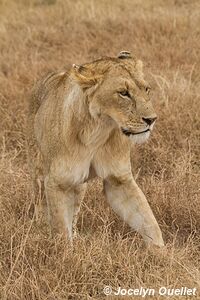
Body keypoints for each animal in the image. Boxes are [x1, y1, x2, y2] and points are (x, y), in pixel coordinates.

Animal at [26, 51, 164, 247]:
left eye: (146, 89)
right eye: (123, 93)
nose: (151, 119)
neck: (98, 131)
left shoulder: (119, 180)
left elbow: (148, 221)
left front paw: (164, 253)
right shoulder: (56, 182)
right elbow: (61, 230)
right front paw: (64, 253)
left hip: (79, 186)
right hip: (39, 172)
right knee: (41, 204)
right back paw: (41, 231)